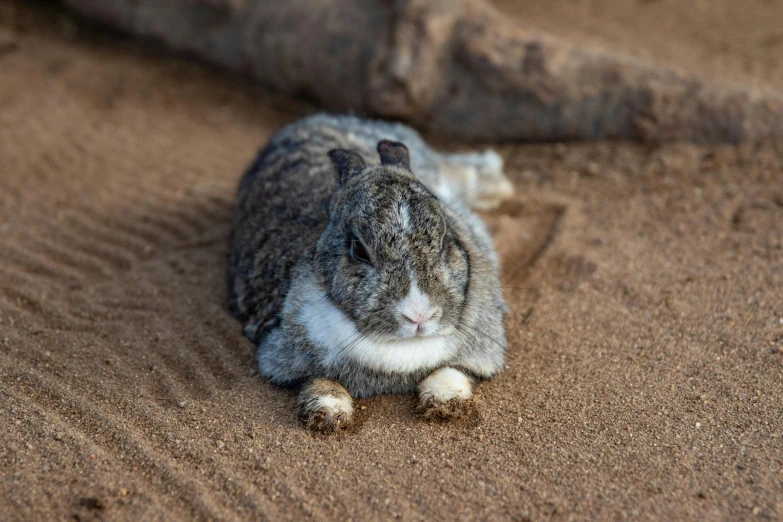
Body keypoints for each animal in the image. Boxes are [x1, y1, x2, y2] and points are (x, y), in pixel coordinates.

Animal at [227, 114, 516, 430]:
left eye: (444, 238)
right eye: (359, 250)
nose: (419, 316)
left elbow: (451, 370)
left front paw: (445, 403)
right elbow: (319, 380)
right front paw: (328, 414)